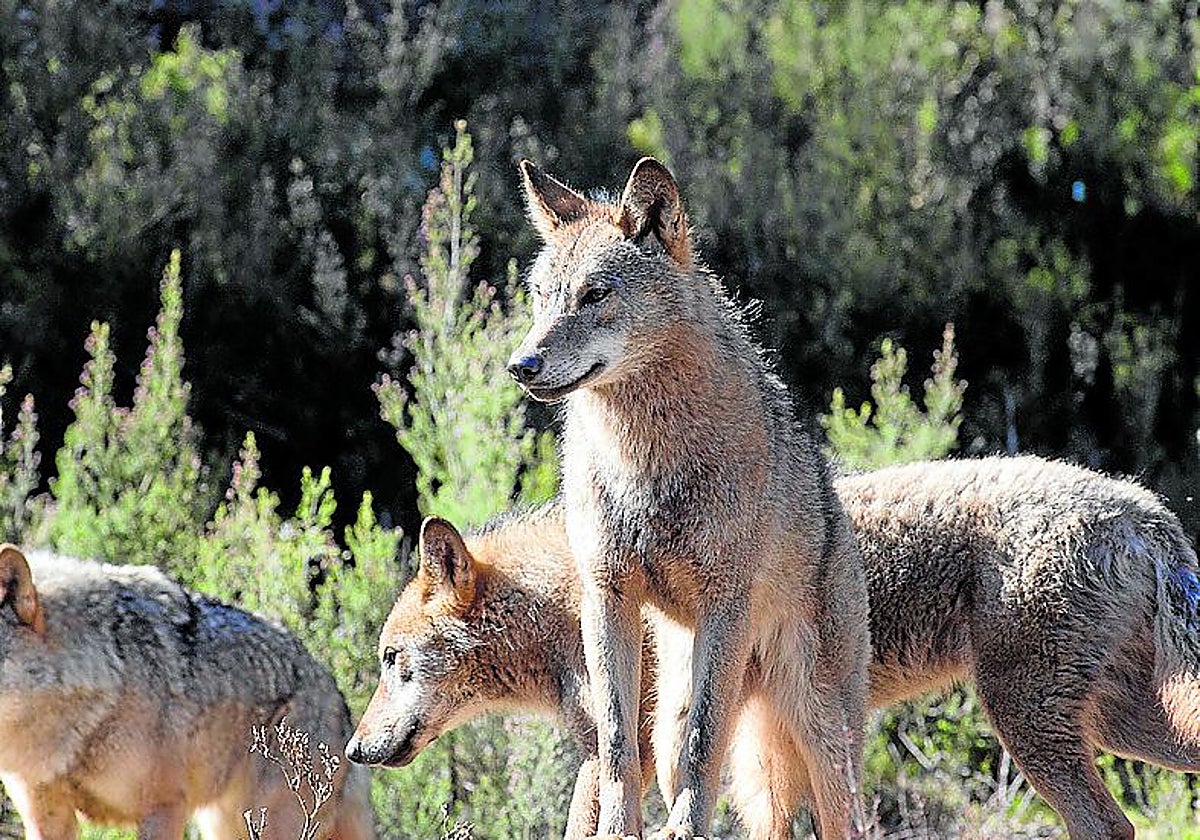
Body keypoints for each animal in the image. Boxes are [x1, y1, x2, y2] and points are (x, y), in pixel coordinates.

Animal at [348, 456, 1200, 840]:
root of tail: (1143, 507)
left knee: (1108, 826)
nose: (353, 750)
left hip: (1031, 726)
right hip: (1121, 729)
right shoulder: (737, 742)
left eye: (391, 662)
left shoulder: (637, 751)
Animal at [506, 157, 871, 839]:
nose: (522, 365)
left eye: (594, 295)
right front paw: (618, 830)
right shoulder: (606, 598)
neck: (643, 462)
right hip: (678, 708)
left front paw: (682, 831)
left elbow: (706, 744)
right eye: (541, 297)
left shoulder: (725, 602)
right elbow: (616, 743)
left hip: (822, 737)